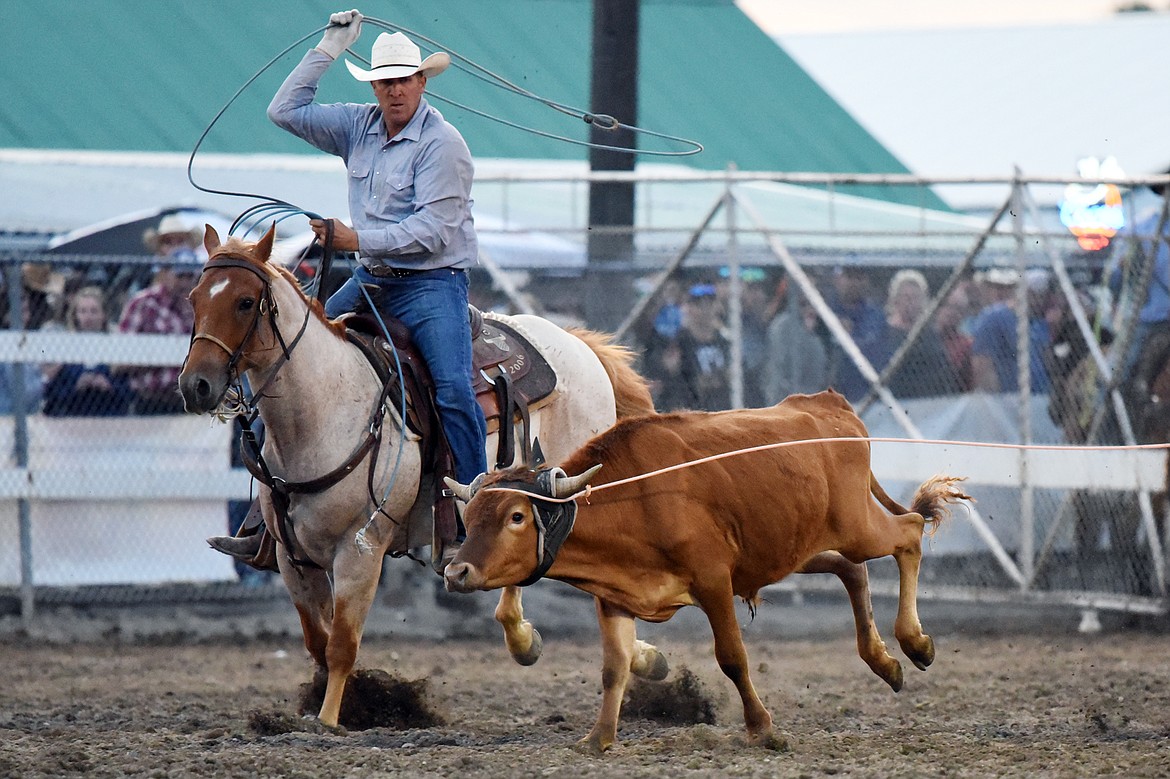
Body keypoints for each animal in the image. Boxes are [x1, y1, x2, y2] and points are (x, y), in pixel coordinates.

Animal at [180, 221, 659, 725]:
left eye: (244, 301)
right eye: (194, 297)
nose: (196, 386)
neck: (325, 407)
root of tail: (578, 344)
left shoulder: (361, 549)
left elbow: (341, 644)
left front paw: (330, 721)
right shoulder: (295, 559)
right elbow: (317, 641)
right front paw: (355, 704)